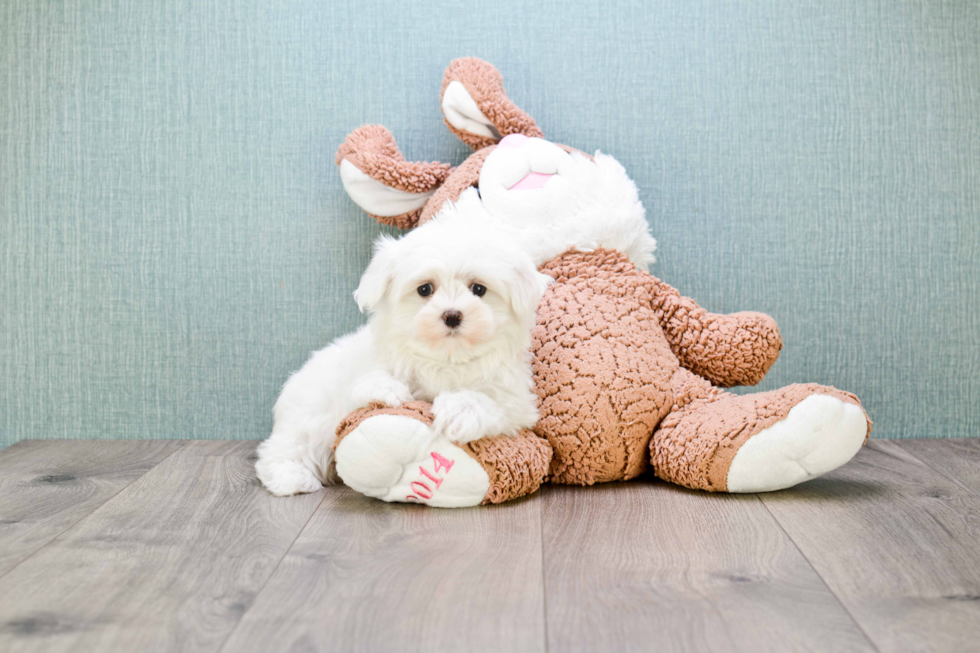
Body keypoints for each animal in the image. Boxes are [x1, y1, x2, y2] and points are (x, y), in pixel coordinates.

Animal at [255, 214, 552, 494]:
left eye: (478, 289)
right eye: (425, 289)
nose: (452, 315)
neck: (444, 360)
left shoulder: (517, 402)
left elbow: (491, 401)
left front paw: (459, 410)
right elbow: (364, 385)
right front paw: (387, 390)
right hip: (309, 416)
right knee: (286, 446)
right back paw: (291, 476)